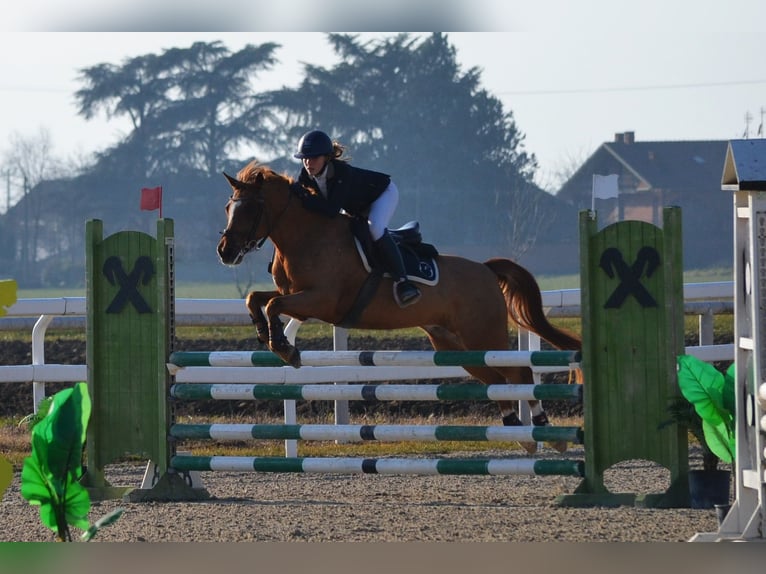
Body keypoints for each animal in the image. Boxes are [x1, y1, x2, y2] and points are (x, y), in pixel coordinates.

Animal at [216, 162, 584, 454]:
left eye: (250, 209)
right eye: (228, 207)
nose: (225, 251)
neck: (306, 236)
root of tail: (486, 269)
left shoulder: (322, 300)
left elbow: (273, 304)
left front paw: (284, 348)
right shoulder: (298, 298)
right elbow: (257, 298)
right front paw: (266, 335)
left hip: (484, 334)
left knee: (518, 374)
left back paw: (547, 433)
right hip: (452, 344)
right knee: (494, 379)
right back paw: (519, 434)